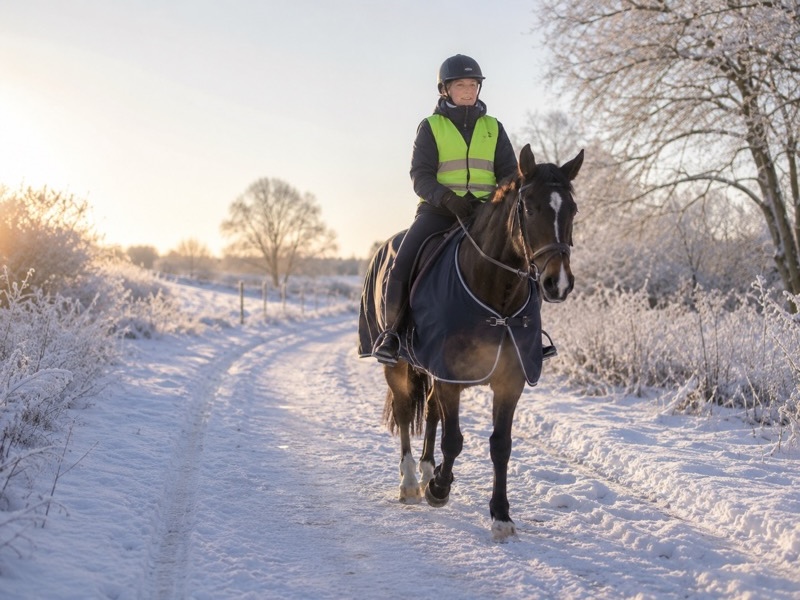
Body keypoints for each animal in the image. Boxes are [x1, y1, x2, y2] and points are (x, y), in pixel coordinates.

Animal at [358, 143, 583, 541]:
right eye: (529, 208)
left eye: (571, 209)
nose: (558, 283)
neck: (496, 295)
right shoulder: (450, 374)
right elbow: (454, 439)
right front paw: (439, 489)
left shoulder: (509, 380)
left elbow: (500, 445)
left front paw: (501, 514)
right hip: (397, 364)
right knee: (405, 411)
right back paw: (412, 482)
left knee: (431, 410)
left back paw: (427, 469)